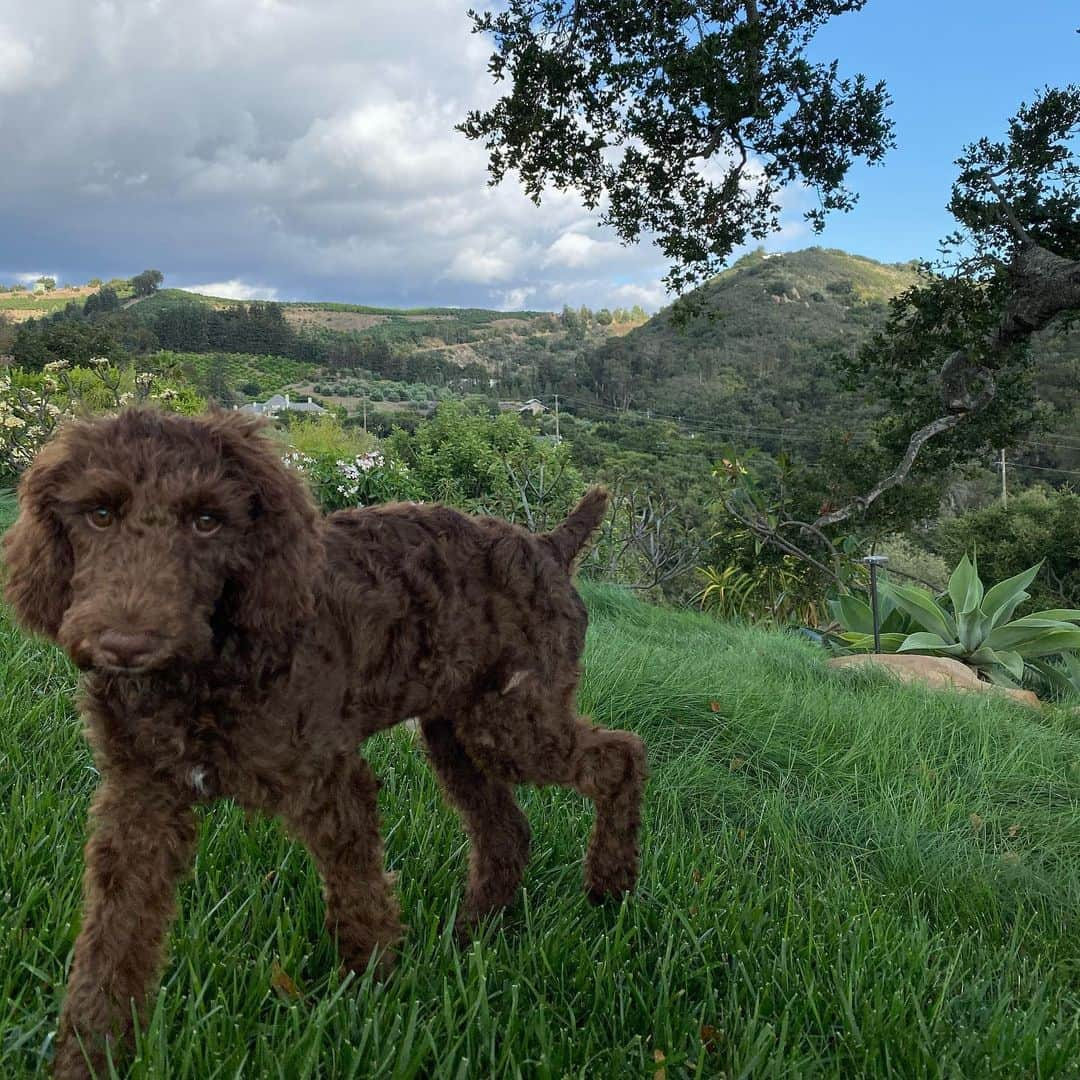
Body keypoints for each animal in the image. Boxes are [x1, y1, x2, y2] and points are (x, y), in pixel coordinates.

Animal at [4, 406, 643, 1080]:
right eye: (98, 514)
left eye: (208, 521)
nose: (126, 645)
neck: (206, 670)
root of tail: (548, 546)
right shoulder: (140, 802)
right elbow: (112, 942)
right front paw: (89, 1054)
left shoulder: (331, 782)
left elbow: (360, 903)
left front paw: (372, 1003)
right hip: (456, 733)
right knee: (507, 829)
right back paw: (473, 933)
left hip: (511, 722)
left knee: (620, 756)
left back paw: (610, 886)